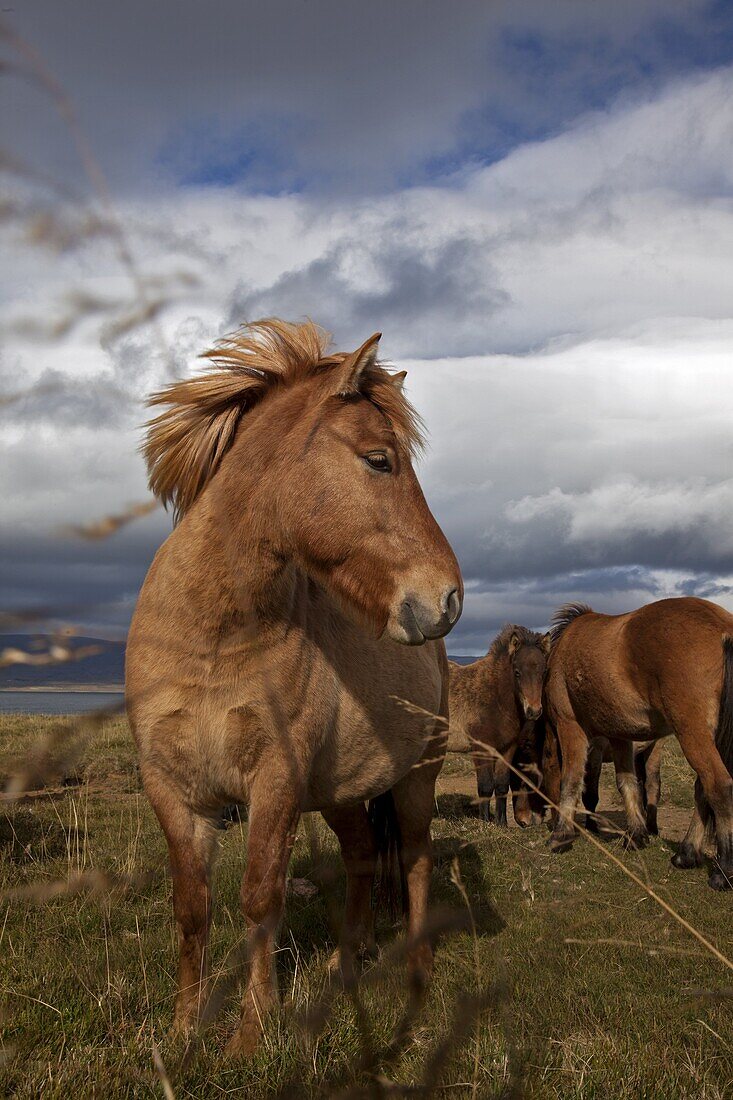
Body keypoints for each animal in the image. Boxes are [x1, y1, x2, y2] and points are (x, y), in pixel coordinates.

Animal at [124, 319, 462, 1056]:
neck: (212, 640)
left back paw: (418, 968)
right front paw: (184, 1030)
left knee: (416, 859)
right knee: (362, 856)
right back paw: (348, 957)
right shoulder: (171, 787)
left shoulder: (274, 779)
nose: (447, 599)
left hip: (416, 779)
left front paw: (250, 1035)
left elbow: (261, 899)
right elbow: (191, 907)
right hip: (339, 793)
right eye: (379, 461)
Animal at [444, 629, 548, 827]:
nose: (533, 711)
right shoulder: (482, 748)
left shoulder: (507, 749)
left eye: (543, 671)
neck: (495, 697)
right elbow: (485, 786)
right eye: (517, 672)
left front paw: (502, 824)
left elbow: (501, 785)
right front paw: (485, 823)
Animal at [539, 598, 730, 888]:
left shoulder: (569, 725)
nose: (548, 819)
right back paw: (686, 854)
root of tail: (722, 625)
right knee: (702, 788)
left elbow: (571, 780)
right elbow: (627, 783)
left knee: (718, 786)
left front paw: (560, 836)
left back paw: (723, 871)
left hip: (692, 732)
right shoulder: (619, 735)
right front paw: (637, 835)